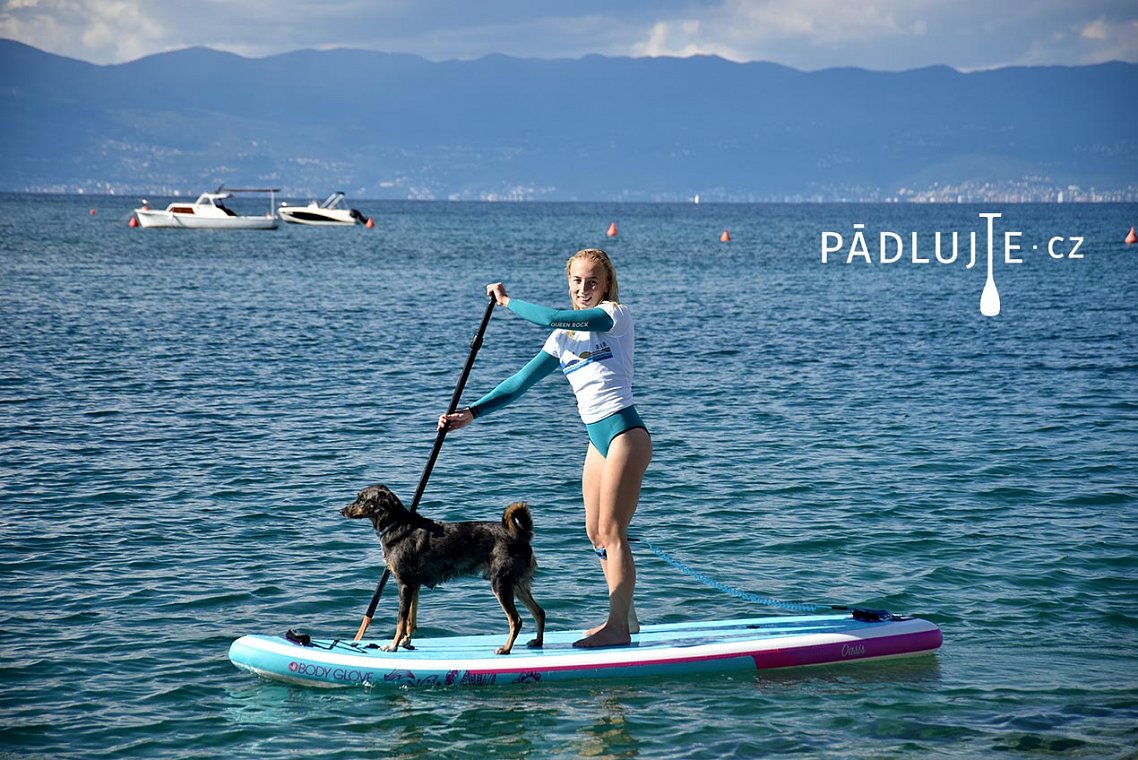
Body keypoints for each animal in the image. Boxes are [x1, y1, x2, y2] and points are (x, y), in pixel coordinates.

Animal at [339, 486, 543, 655]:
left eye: (362, 499)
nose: (341, 511)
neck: (396, 524)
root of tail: (520, 537)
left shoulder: (404, 585)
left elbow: (400, 619)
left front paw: (393, 645)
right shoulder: (414, 586)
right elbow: (410, 620)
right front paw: (406, 642)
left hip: (501, 584)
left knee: (516, 620)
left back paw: (506, 648)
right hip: (517, 585)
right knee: (539, 612)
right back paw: (538, 641)